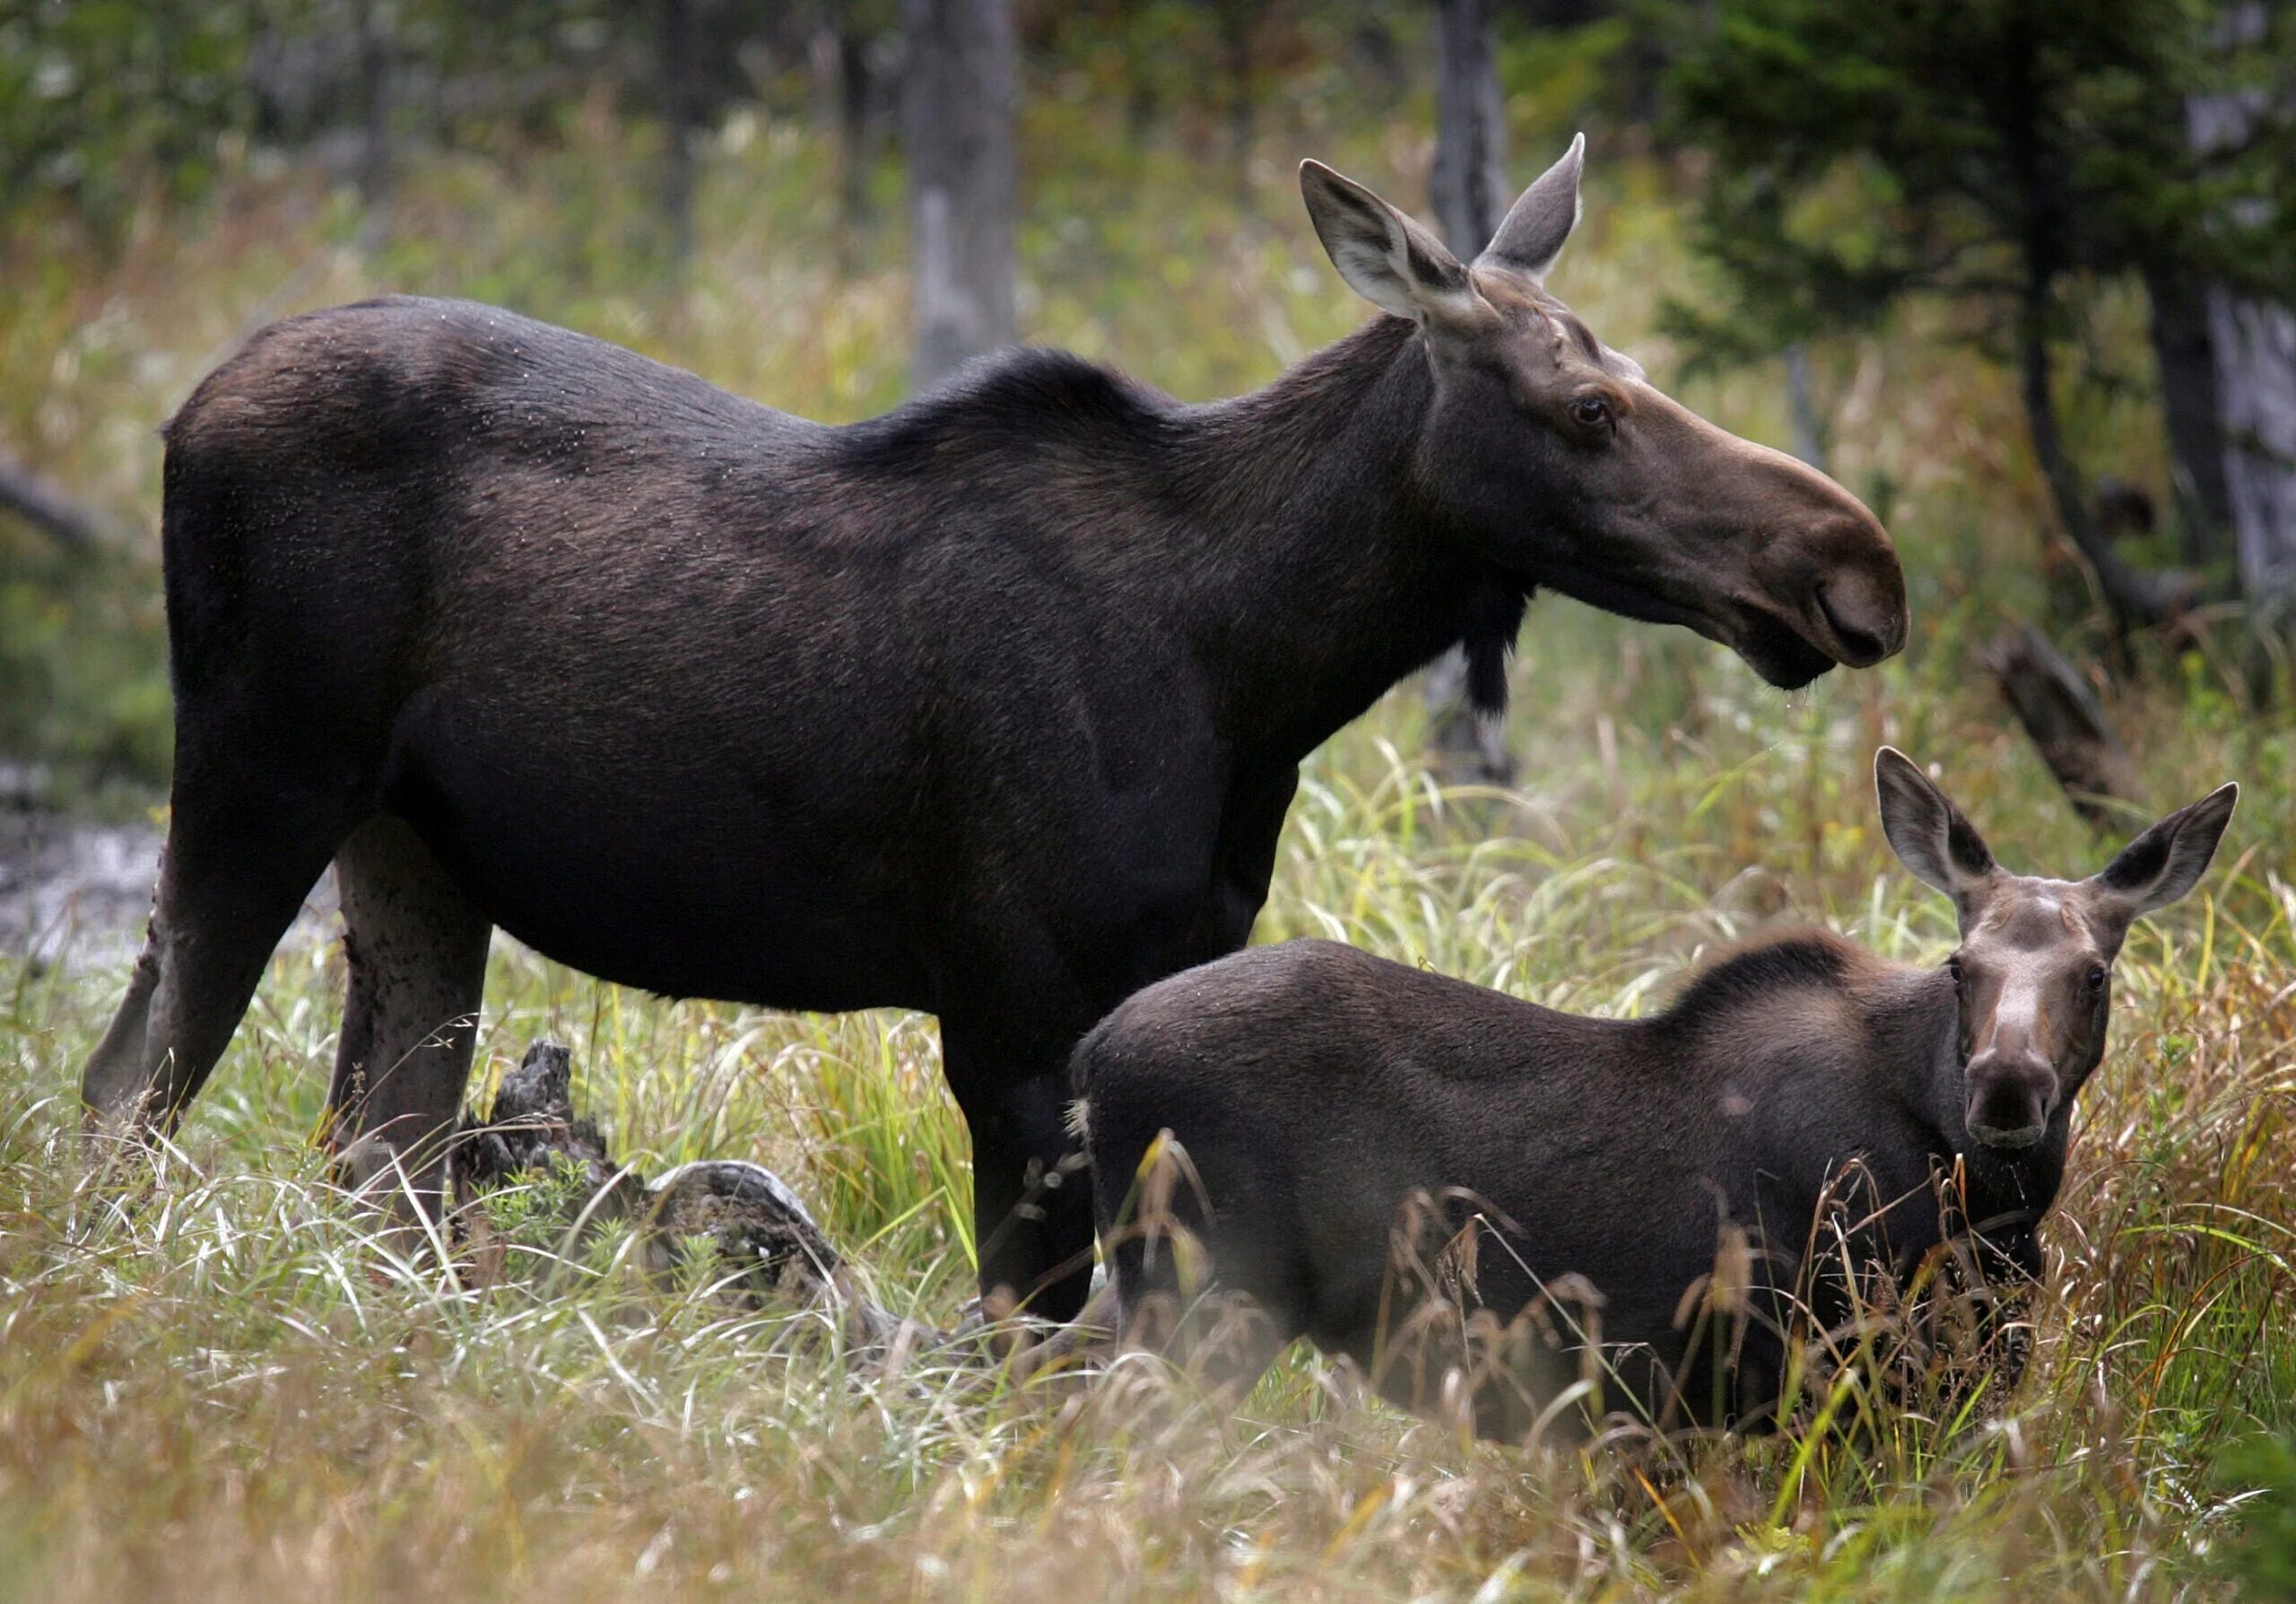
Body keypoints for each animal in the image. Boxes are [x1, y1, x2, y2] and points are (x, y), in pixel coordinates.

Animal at [84, 137, 1900, 1314]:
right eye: (1589, 408)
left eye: (1639, 368)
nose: (1856, 565)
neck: (1259, 669)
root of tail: (176, 413)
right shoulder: (1014, 1015)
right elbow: (1028, 1336)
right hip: (254, 776)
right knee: (129, 1086)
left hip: (415, 853)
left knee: (372, 1153)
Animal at [1079, 749, 2240, 1434]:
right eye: (1962, 966)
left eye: (2094, 973)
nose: (2003, 1088)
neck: (1997, 1209)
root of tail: (1090, 1059)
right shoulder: (1833, 1367)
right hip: (1201, 1295)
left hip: (1139, 1283)